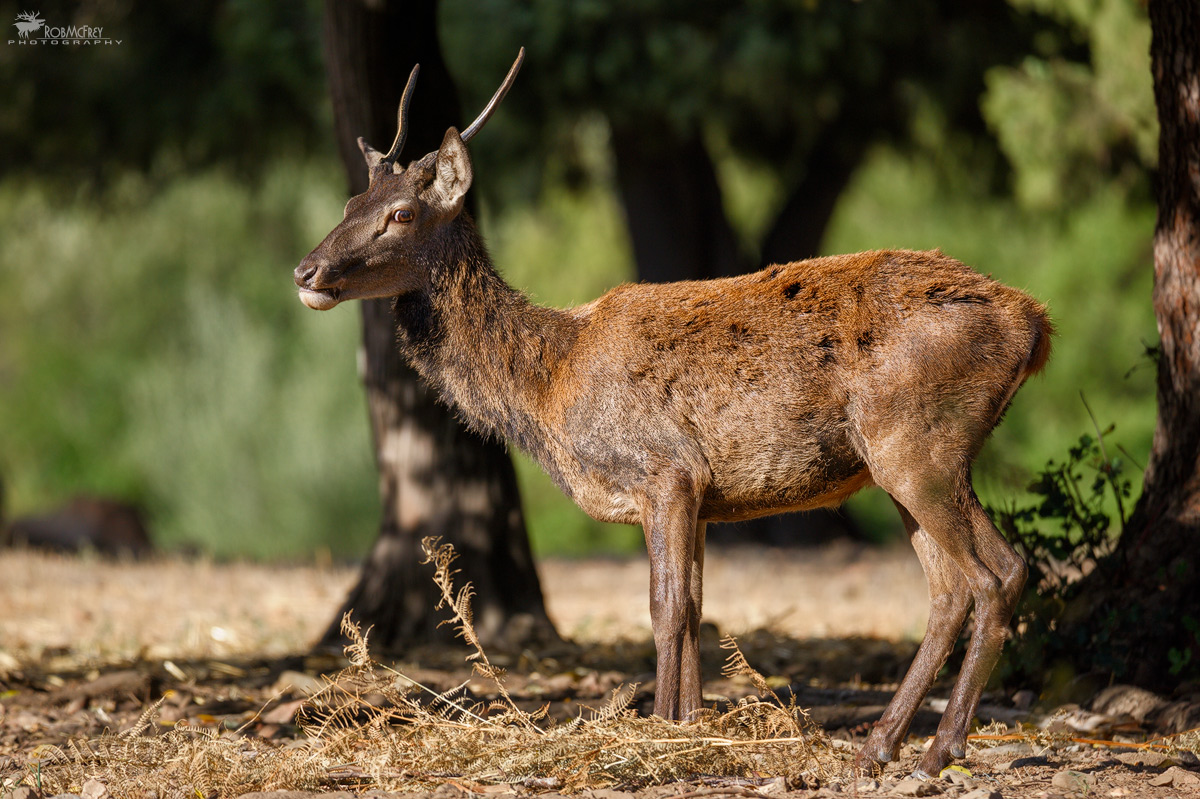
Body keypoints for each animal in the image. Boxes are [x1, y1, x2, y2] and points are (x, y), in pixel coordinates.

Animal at [295, 49, 1052, 778]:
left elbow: (665, 608)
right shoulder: (703, 496)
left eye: (401, 214)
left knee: (997, 574)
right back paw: (882, 746)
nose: (306, 271)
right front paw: (690, 724)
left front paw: (658, 732)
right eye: (351, 198)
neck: (549, 388)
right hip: (899, 461)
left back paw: (937, 748)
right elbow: (694, 608)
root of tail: (1035, 325)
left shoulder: (665, 470)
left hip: (918, 445)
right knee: (949, 591)